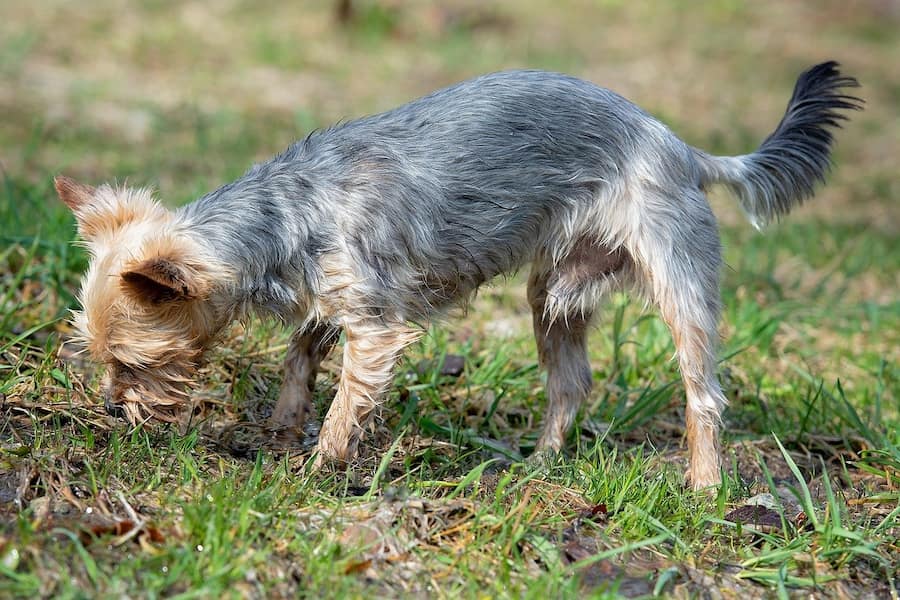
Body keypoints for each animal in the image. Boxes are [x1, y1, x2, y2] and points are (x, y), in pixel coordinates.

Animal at [54, 63, 856, 490]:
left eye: (133, 364)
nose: (110, 409)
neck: (282, 213)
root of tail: (684, 148)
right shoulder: (330, 299)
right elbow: (299, 355)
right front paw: (282, 427)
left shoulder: (375, 325)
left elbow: (347, 401)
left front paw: (318, 466)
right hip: (556, 291)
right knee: (572, 381)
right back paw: (539, 463)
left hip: (678, 280)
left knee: (703, 395)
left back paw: (704, 485)